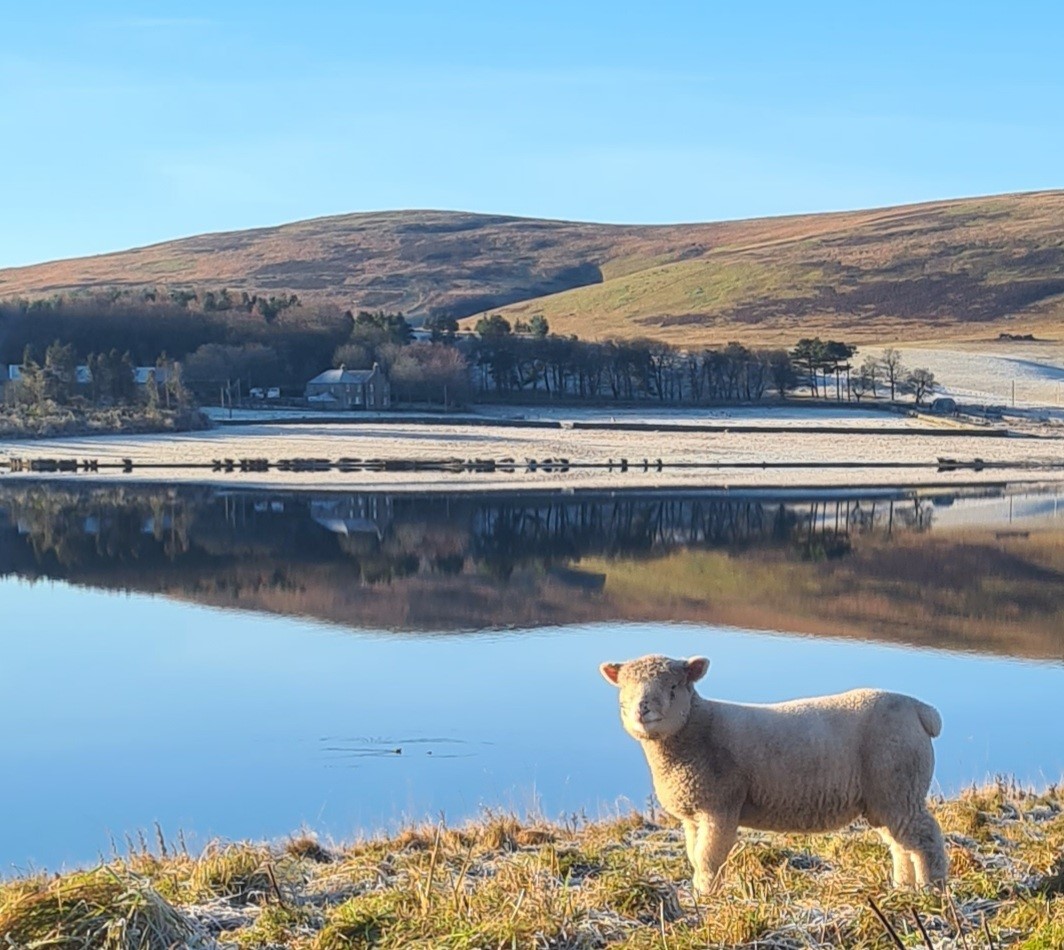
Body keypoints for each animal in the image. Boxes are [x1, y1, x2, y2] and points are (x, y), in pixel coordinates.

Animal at [600, 651, 949, 889]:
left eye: (673, 687)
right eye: (623, 689)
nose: (642, 710)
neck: (696, 730)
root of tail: (920, 710)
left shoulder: (720, 806)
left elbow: (709, 860)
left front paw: (707, 897)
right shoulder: (692, 814)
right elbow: (694, 858)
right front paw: (700, 893)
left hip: (898, 783)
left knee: (926, 838)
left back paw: (931, 889)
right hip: (884, 798)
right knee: (901, 843)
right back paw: (902, 888)